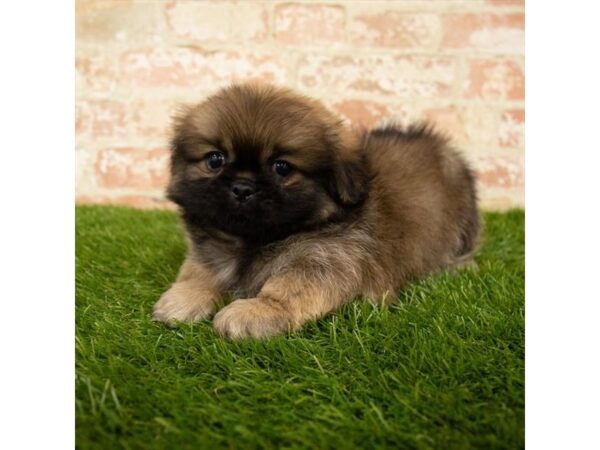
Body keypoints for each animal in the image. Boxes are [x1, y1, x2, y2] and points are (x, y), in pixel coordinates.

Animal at [152, 82, 480, 340]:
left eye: (282, 167)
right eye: (215, 160)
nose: (243, 187)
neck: (253, 241)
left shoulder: (324, 261)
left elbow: (285, 288)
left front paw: (255, 312)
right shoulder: (207, 252)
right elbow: (197, 274)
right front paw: (182, 299)